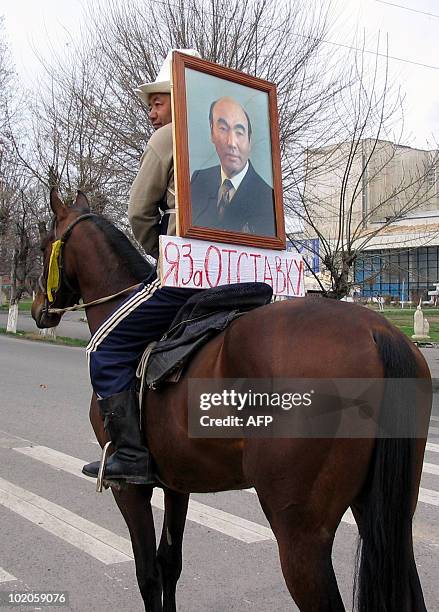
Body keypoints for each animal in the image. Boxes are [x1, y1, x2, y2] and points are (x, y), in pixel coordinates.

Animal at [31, 189, 434, 608]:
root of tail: (376, 331)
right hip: (386, 516)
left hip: (301, 534)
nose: (39, 309)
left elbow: (147, 574)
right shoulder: (177, 481)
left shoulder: (131, 489)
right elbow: (169, 563)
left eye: (43, 245)